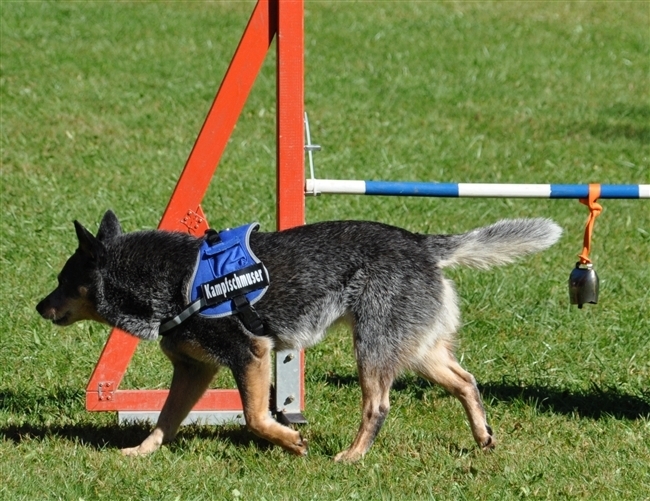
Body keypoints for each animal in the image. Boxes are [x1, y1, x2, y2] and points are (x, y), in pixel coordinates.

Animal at [37, 210, 561, 461]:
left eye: (63, 280)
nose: (38, 306)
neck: (173, 280)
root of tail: (421, 242)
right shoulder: (194, 371)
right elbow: (164, 422)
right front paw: (142, 453)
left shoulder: (251, 354)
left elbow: (255, 418)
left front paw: (291, 443)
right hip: (417, 351)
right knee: (467, 381)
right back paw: (484, 438)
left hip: (373, 350)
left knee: (378, 407)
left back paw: (351, 457)